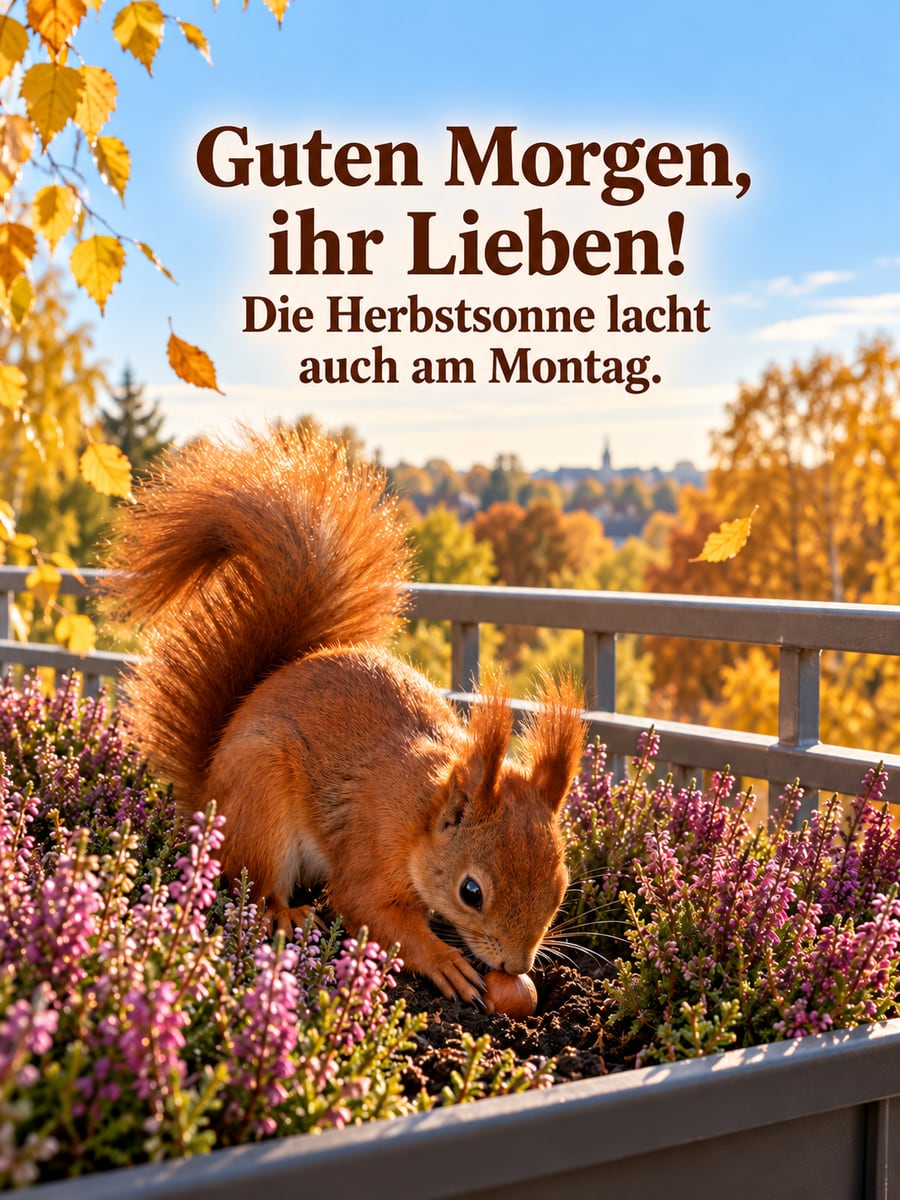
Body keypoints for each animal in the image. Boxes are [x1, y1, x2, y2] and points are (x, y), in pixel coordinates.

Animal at [104, 424, 587, 1003]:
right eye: (471, 891)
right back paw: (287, 914)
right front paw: (444, 961)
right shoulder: (369, 847)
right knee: (254, 884)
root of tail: (208, 794)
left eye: (560, 886)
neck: (421, 810)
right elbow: (364, 906)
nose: (516, 965)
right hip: (262, 798)